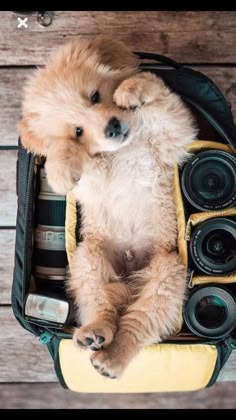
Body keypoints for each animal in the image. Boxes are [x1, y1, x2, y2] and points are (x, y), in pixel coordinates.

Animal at [18, 35, 197, 378]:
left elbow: (162, 99)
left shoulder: (171, 134)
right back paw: (95, 333)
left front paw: (133, 89)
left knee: (136, 324)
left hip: (166, 274)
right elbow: (70, 158)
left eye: (95, 96)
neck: (125, 148)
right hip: (89, 261)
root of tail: (129, 278)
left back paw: (110, 359)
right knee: (106, 310)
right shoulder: (93, 178)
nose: (113, 128)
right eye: (77, 130)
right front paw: (61, 167)